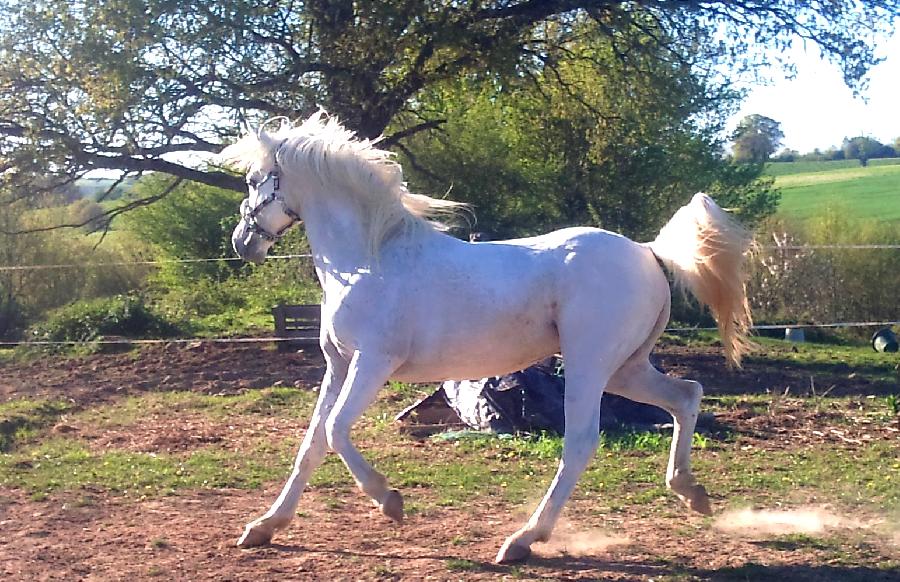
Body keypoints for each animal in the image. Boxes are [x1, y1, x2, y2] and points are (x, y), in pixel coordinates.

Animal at [220, 110, 752, 564]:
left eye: (252, 181)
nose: (242, 244)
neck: (370, 258)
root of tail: (647, 251)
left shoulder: (373, 362)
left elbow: (335, 431)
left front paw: (391, 502)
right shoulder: (339, 364)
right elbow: (311, 445)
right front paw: (263, 527)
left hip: (589, 365)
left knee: (582, 441)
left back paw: (522, 540)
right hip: (626, 367)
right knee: (686, 396)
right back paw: (692, 494)